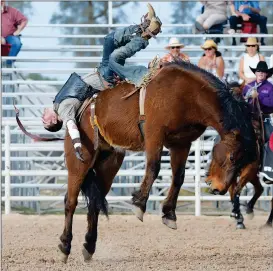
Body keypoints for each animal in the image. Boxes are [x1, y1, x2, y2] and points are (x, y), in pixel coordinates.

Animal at [58, 61, 256, 264]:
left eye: (244, 163)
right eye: (232, 157)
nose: (219, 189)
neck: (188, 95)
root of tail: (83, 108)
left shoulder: (181, 144)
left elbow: (178, 177)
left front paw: (169, 213)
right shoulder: (154, 134)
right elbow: (154, 167)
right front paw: (139, 203)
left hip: (109, 163)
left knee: (95, 203)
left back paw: (89, 247)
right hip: (80, 159)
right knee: (70, 201)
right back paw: (65, 246)